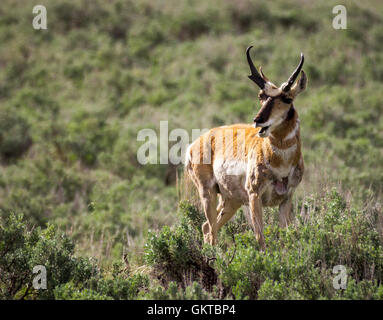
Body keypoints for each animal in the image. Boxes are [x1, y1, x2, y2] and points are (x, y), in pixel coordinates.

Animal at [184, 46, 308, 249]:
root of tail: (196, 144)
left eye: (287, 99)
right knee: (211, 229)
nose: (258, 120)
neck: (280, 163)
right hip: (208, 193)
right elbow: (260, 238)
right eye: (261, 96)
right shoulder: (254, 196)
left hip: (230, 200)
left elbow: (288, 236)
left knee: (207, 227)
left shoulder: (286, 200)